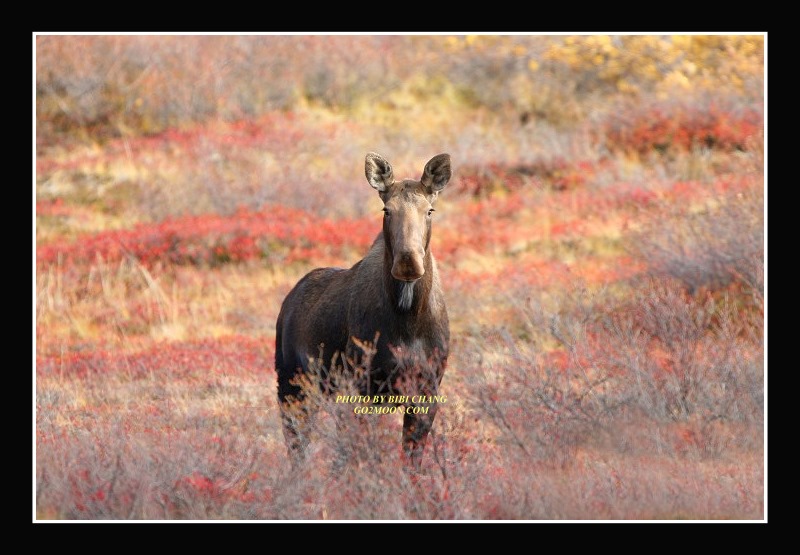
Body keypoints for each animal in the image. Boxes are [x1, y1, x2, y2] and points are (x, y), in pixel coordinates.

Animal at [274, 152, 450, 470]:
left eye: (430, 210)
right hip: (292, 384)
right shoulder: (364, 388)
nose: (408, 261)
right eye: (386, 209)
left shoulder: (428, 389)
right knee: (297, 446)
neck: (408, 318)